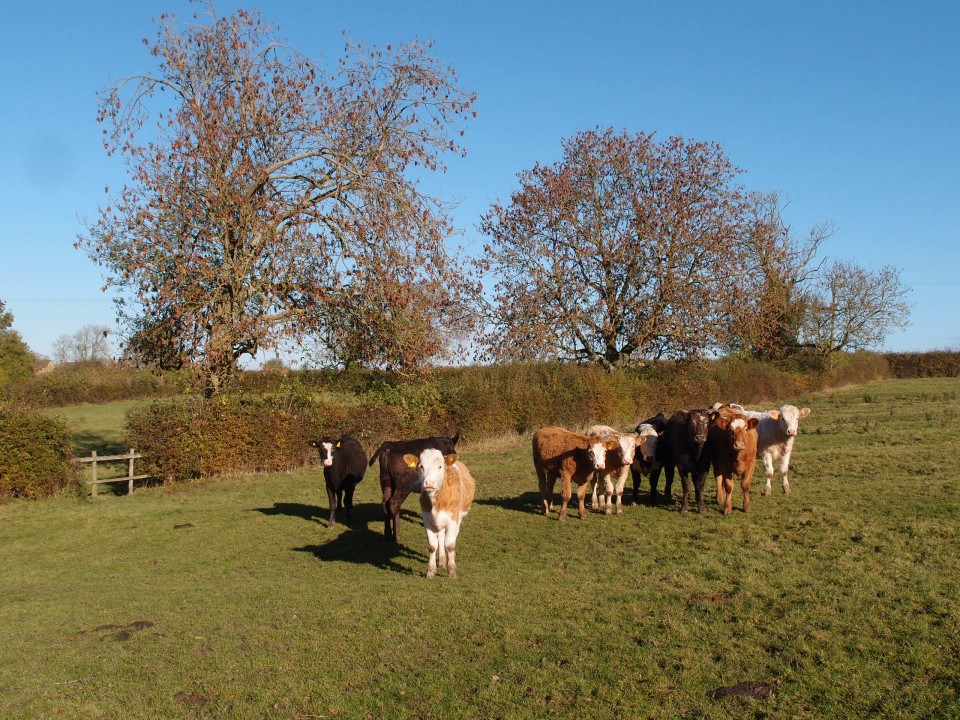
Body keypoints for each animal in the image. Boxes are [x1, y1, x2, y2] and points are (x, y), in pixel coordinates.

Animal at [403, 449, 476, 579]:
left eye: (440, 466)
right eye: (421, 466)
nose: (429, 483)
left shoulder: (453, 519)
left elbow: (450, 545)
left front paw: (452, 571)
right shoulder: (427, 520)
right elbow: (432, 546)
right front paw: (431, 571)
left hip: (459, 517)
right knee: (441, 536)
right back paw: (441, 560)